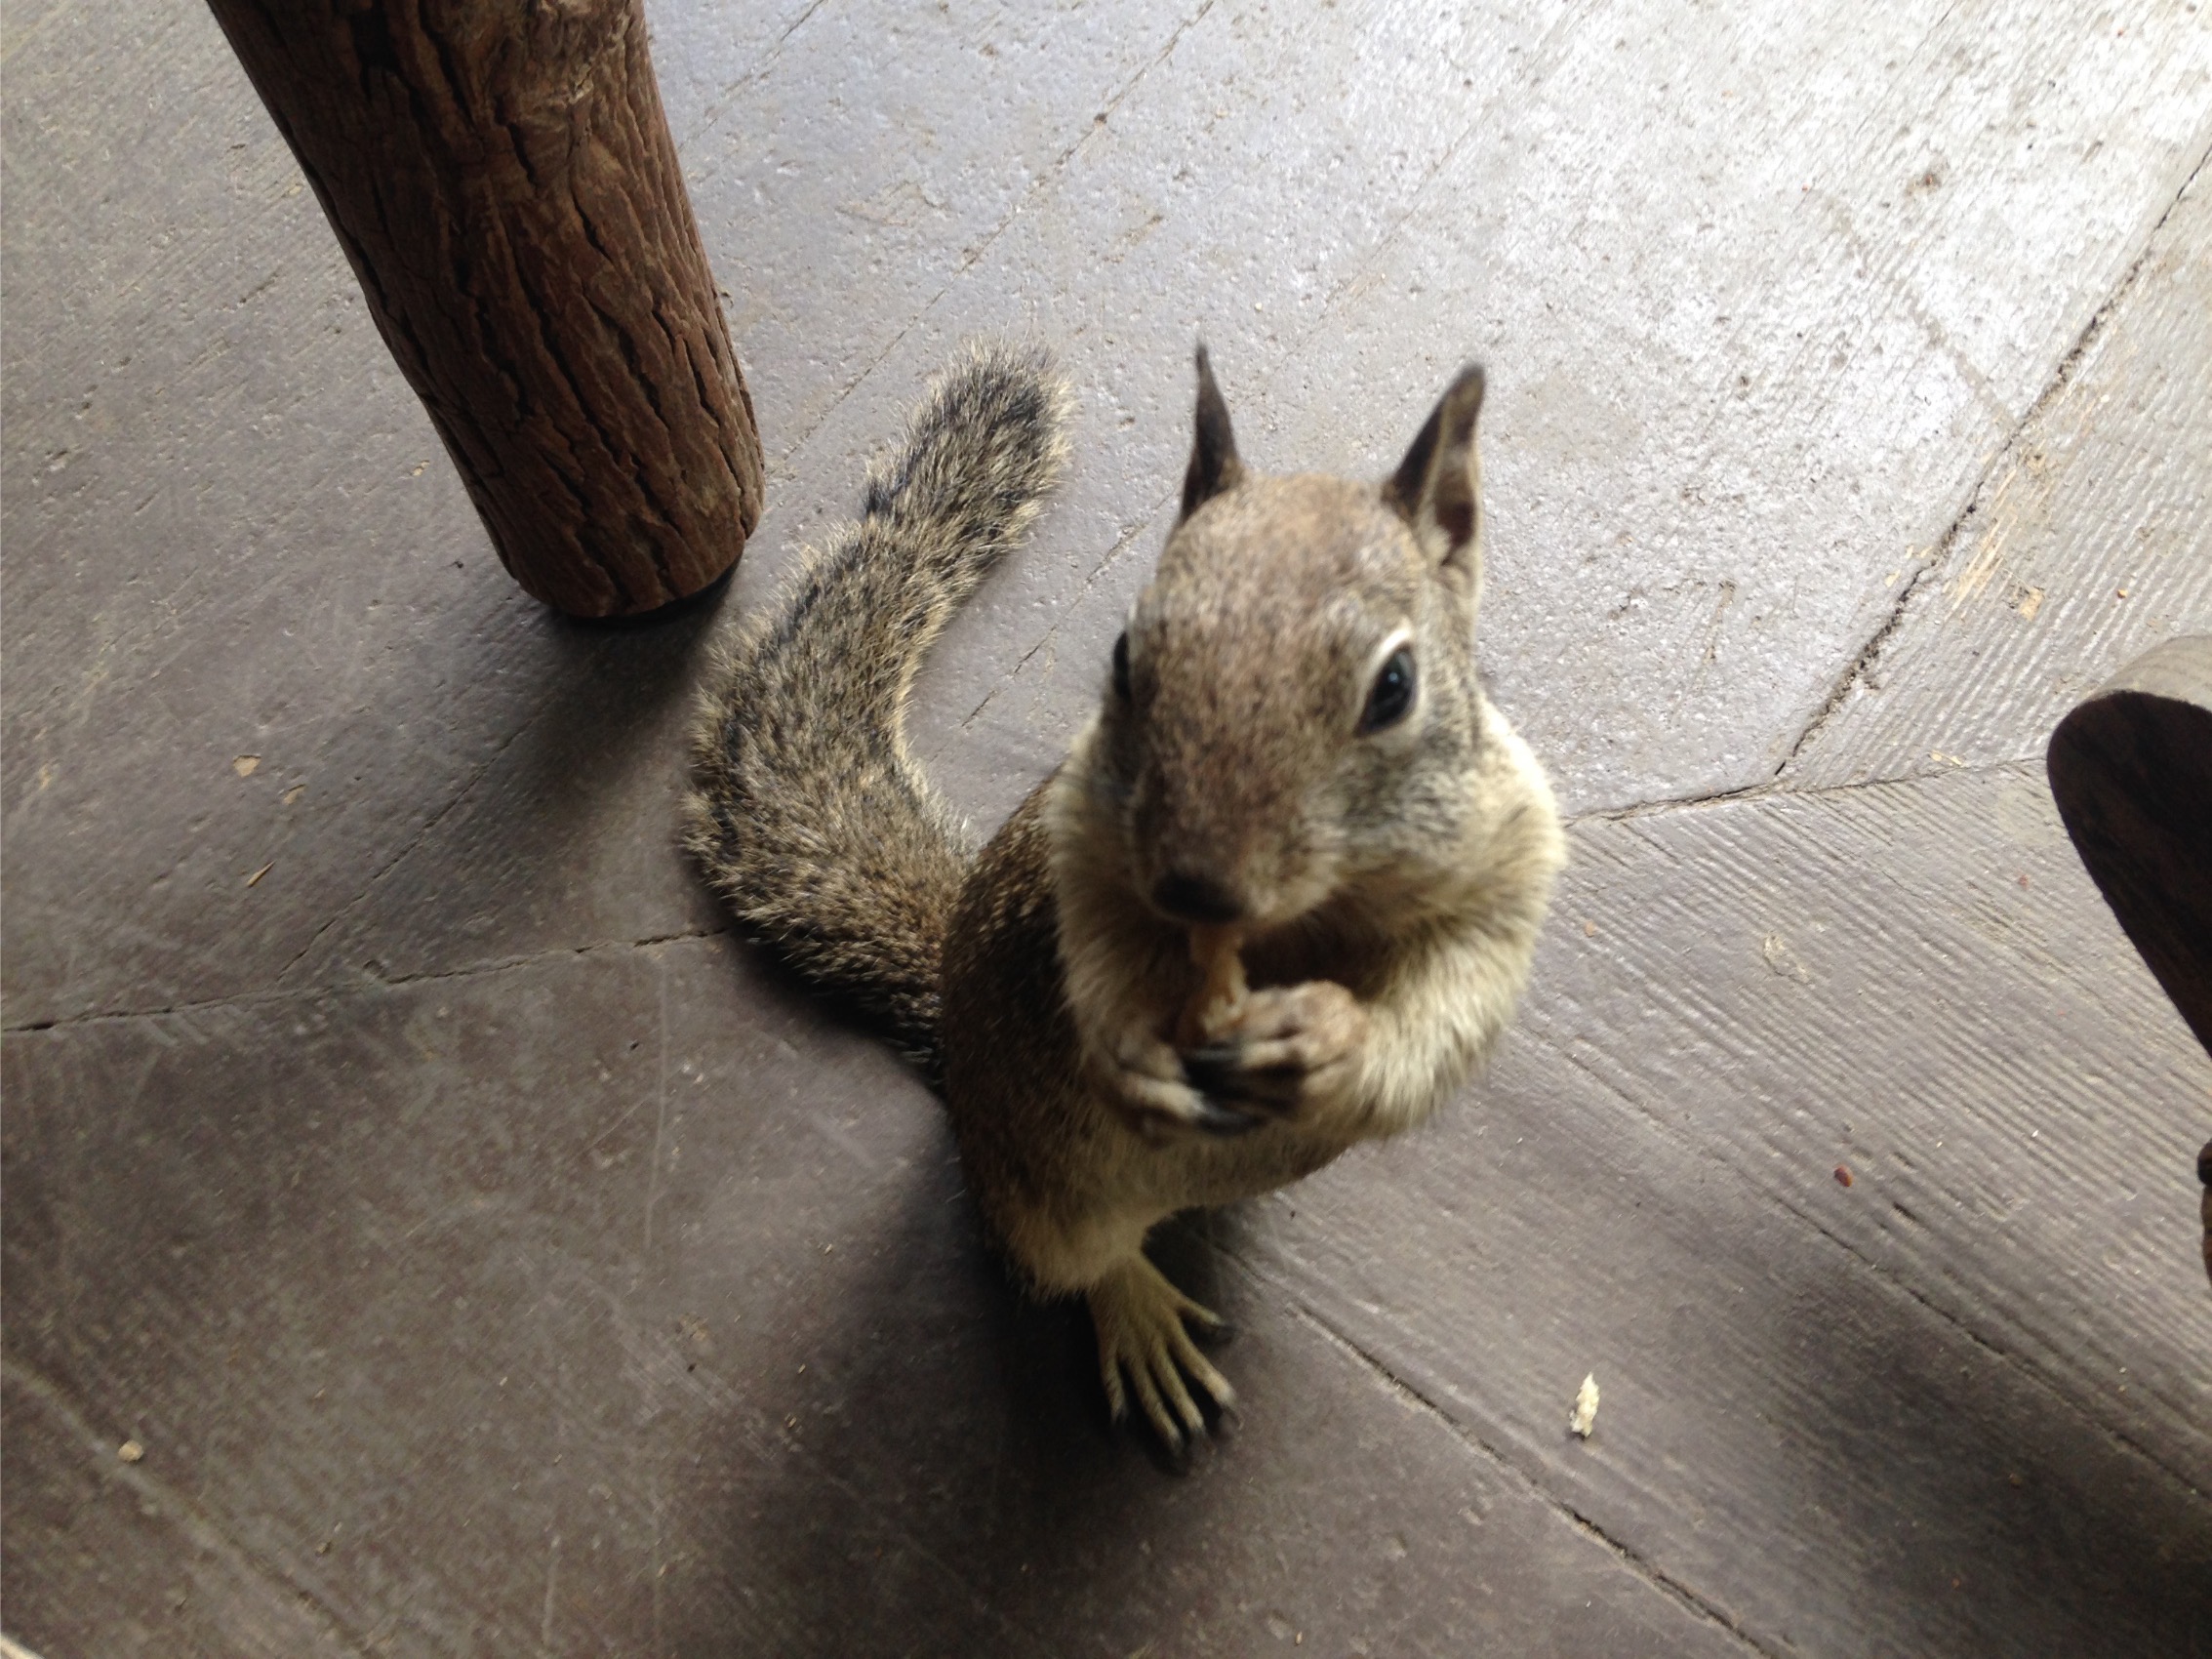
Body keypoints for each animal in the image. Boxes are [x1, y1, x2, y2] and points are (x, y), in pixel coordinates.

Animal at [687, 342, 1564, 1451]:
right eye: (1124, 656)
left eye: (1396, 685)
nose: (1196, 884)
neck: (1298, 922)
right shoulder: (1084, 837)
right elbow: (1096, 948)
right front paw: (1133, 1051)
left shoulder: (1508, 861)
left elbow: (1447, 1008)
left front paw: (1328, 1042)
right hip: (1039, 1197)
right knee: (1077, 1266)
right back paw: (1138, 1312)